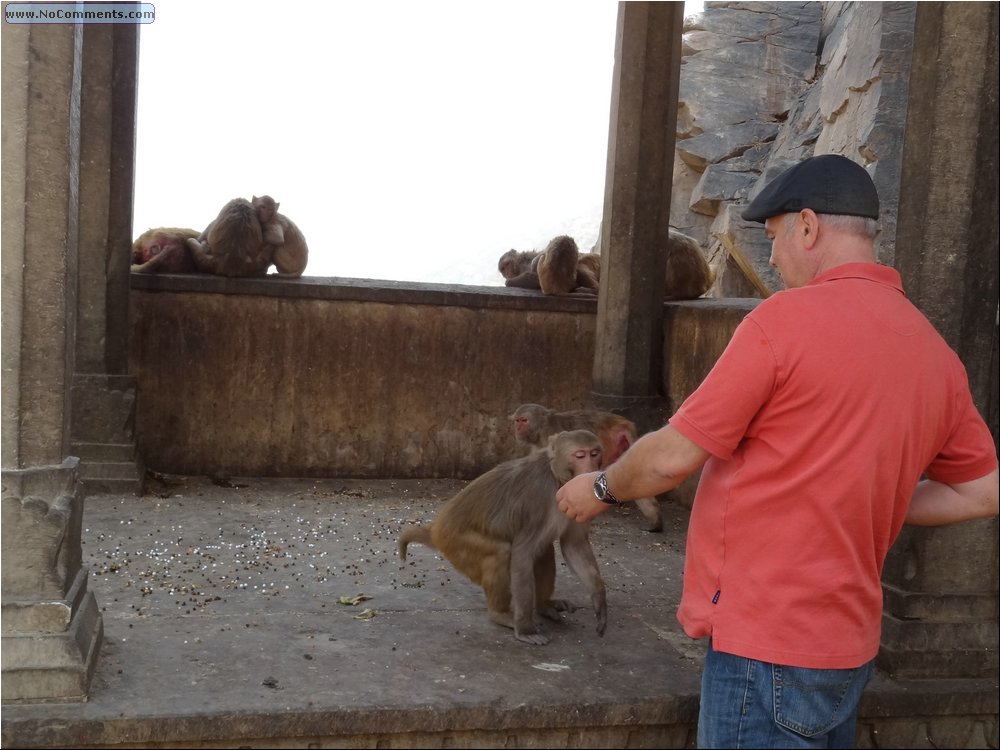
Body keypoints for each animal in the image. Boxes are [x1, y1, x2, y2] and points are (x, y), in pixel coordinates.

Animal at [400, 428, 608, 648]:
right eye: (580, 455)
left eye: (595, 453)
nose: (591, 468)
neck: (556, 477)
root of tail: (436, 529)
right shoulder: (537, 498)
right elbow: (522, 554)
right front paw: (525, 628)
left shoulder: (579, 497)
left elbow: (574, 544)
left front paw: (599, 599)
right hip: (457, 544)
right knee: (501, 552)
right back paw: (500, 614)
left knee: (544, 550)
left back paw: (543, 605)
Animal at [508, 406, 664, 536]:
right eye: (517, 421)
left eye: (523, 420)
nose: (517, 430)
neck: (542, 427)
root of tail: (620, 423)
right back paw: (655, 520)